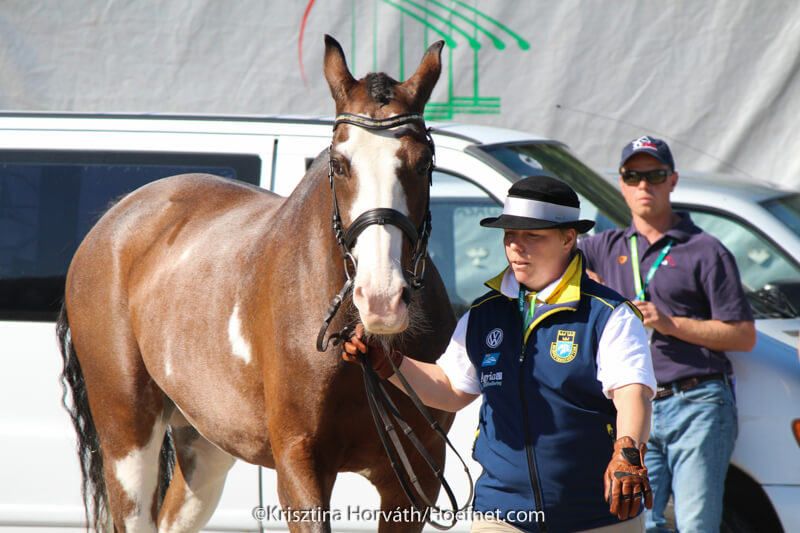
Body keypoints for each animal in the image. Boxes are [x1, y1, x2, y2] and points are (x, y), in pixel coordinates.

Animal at [57, 34, 456, 533]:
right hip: (126, 438)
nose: (381, 298)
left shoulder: (414, 479)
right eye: (340, 164)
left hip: (205, 441)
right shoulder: (299, 462)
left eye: (424, 164)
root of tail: (114, 217)